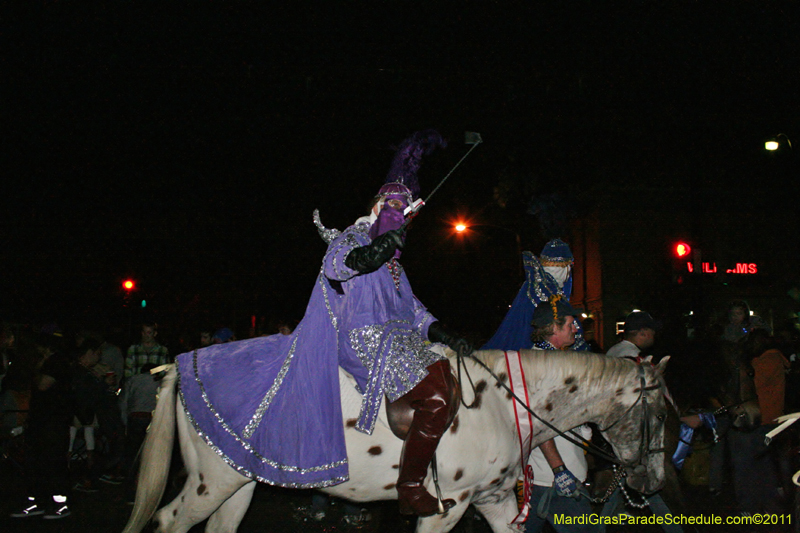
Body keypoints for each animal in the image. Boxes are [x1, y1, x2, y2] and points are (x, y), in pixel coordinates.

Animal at [120, 350, 668, 532]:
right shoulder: (448, 506)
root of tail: (182, 367)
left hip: (239, 484)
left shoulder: (492, 501)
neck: (500, 403)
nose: (655, 484)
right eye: (662, 416)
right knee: (169, 520)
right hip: (211, 481)